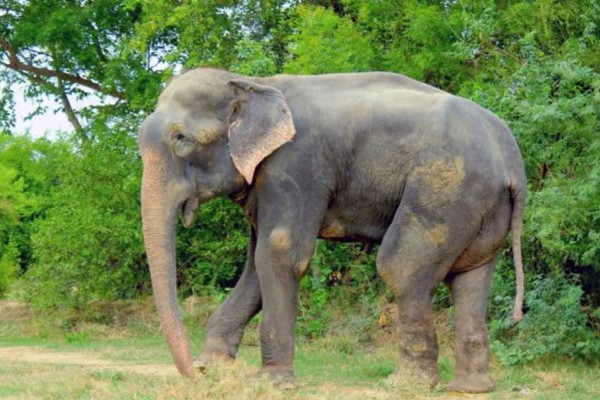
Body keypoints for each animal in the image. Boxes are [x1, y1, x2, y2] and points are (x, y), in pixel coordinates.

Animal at [138, 67, 524, 392]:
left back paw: (406, 384)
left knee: (401, 267)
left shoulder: (295, 166)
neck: (252, 82)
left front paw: (272, 383)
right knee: (470, 278)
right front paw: (215, 367)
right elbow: (255, 267)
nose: (192, 373)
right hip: (482, 208)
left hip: (447, 189)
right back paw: (470, 388)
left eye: (181, 138)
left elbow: (279, 253)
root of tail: (513, 163)